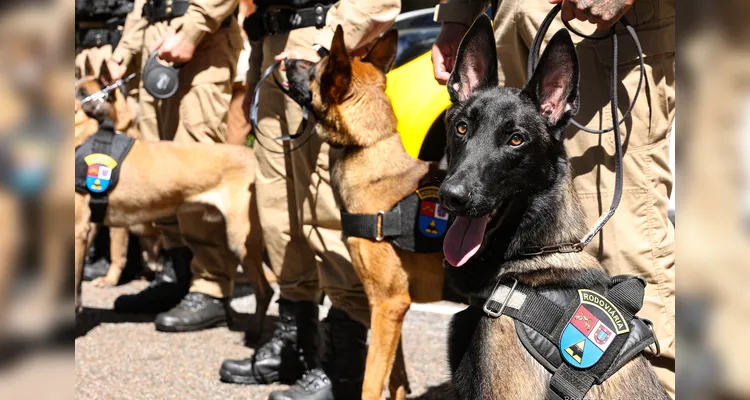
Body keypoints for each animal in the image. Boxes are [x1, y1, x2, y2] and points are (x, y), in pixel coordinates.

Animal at [72, 66, 274, 338]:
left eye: (85, 93)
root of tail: (254, 156)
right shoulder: (90, 227)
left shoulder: (79, 229)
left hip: (241, 238)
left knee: (265, 290)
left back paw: (254, 332)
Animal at [284, 28, 444, 400]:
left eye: (314, 69)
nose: (285, 60)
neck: (369, 147)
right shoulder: (392, 307)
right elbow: (396, 376)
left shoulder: (388, 303)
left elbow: (371, 381)